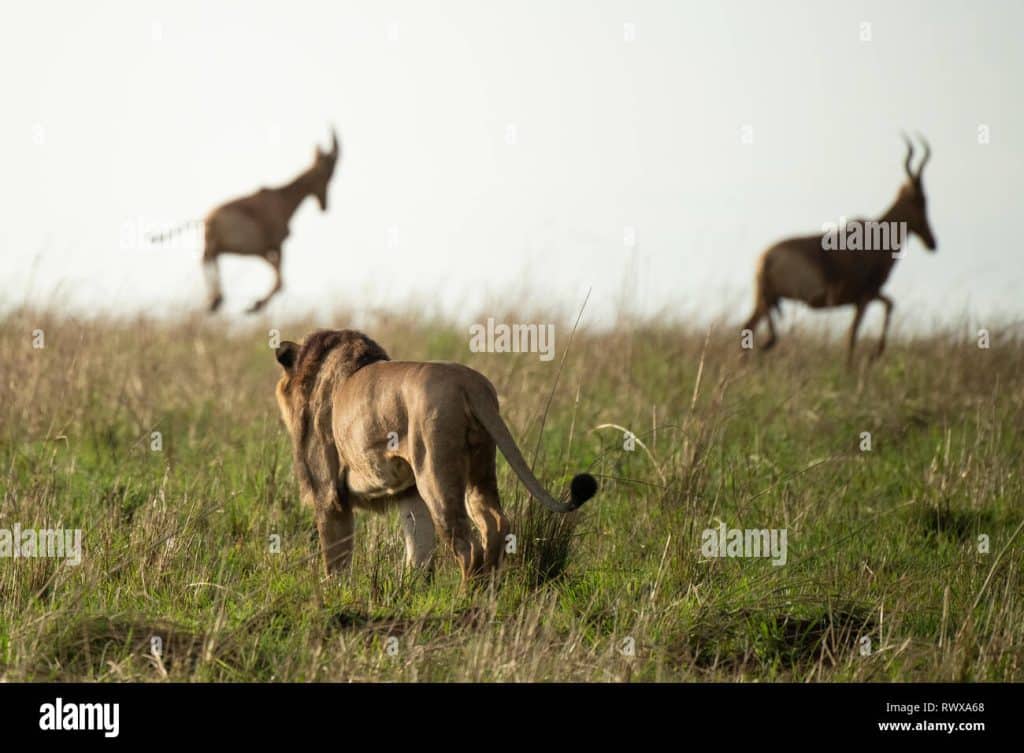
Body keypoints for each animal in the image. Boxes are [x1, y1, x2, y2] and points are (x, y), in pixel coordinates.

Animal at [149, 131, 339, 313]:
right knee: (206, 259)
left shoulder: (264, 251)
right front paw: (254, 306)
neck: (280, 198)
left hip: (221, 247)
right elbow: (280, 282)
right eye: (326, 174)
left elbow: (279, 279)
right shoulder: (275, 246)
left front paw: (253, 305)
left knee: (208, 259)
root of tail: (206, 218)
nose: (325, 206)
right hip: (220, 245)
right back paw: (215, 301)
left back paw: (216, 301)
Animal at [272, 327, 598, 581]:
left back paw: (465, 600)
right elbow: (418, 549)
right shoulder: (407, 492)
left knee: (468, 547)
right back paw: (489, 595)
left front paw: (336, 596)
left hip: (435, 471)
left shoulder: (328, 494)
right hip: (479, 468)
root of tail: (469, 381)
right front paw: (411, 592)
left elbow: (336, 562)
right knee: (495, 524)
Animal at [745, 136, 937, 368]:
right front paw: (862, 361)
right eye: (921, 200)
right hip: (771, 297)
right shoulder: (866, 296)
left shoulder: (866, 296)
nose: (932, 242)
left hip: (766, 297)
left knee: (748, 326)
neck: (877, 234)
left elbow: (886, 307)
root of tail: (765, 259)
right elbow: (854, 333)